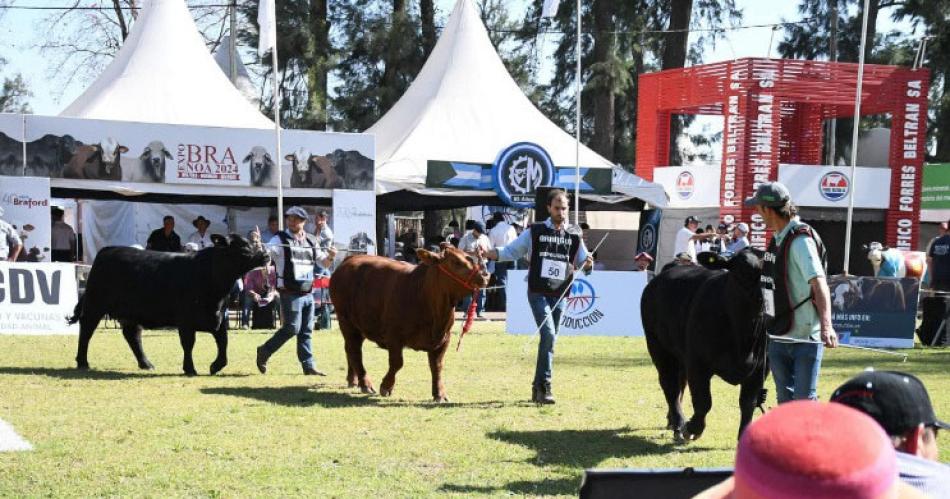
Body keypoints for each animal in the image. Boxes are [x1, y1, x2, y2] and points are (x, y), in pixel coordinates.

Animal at [69, 236, 270, 376]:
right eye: (243, 246)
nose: (266, 255)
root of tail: (107, 250)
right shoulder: (186, 320)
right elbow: (188, 344)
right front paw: (190, 368)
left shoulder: (218, 317)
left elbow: (223, 342)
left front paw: (216, 365)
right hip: (95, 305)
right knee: (86, 330)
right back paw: (82, 362)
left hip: (130, 313)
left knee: (132, 336)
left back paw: (146, 364)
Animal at [330, 243, 490, 402]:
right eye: (456, 262)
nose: (484, 276)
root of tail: (350, 258)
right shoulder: (394, 336)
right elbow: (397, 362)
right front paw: (386, 386)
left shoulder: (444, 337)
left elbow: (437, 365)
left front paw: (439, 394)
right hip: (346, 321)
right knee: (354, 350)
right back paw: (365, 383)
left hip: (360, 325)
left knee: (350, 349)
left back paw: (353, 380)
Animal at [640, 250, 768, 442]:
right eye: (740, 271)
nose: (762, 297)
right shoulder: (698, 363)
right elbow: (703, 402)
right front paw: (692, 428)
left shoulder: (759, 369)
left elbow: (748, 404)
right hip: (658, 345)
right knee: (669, 384)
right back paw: (678, 423)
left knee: (680, 383)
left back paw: (672, 420)